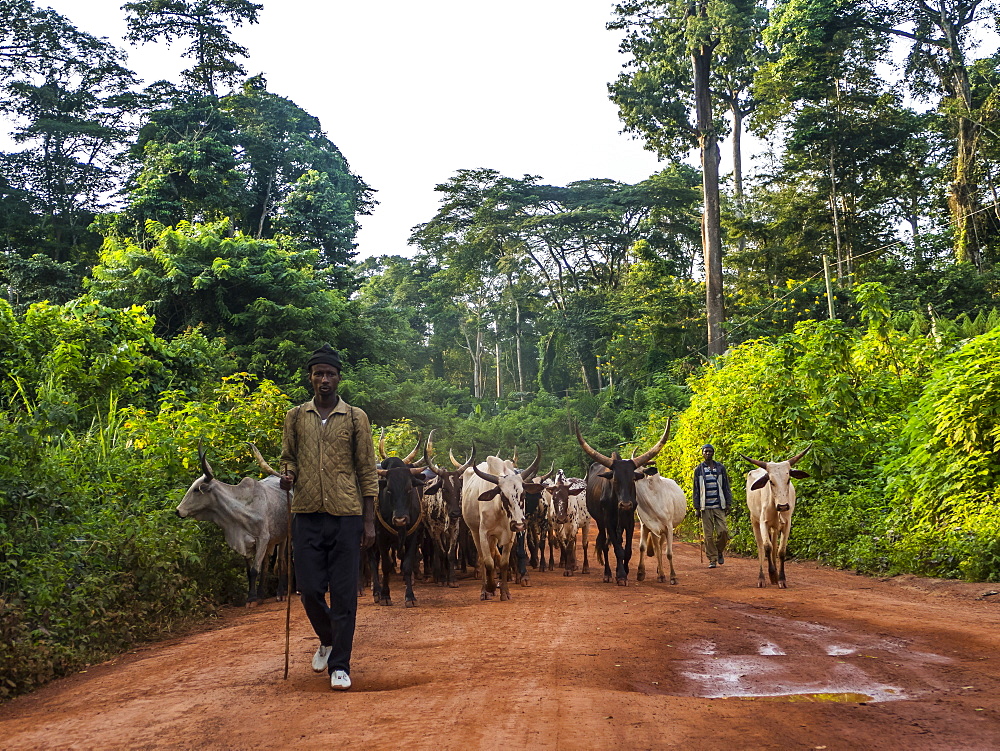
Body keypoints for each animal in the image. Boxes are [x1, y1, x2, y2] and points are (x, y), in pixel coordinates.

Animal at [462, 450, 544, 604]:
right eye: (503, 495)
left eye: (523, 494)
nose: (519, 524)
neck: (499, 510)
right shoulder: (483, 533)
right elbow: (488, 562)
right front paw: (490, 587)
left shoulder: (510, 535)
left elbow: (504, 562)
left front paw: (505, 592)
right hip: (475, 532)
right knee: (482, 557)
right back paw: (485, 590)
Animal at [576, 418, 668, 588]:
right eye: (615, 479)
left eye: (633, 478)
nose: (625, 505)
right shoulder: (608, 521)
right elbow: (617, 549)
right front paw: (621, 576)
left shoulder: (629, 520)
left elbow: (627, 550)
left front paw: (625, 570)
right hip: (600, 522)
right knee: (605, 544)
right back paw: (607, 574)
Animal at [744, 444, 812, 592]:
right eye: (771, 481)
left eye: (788, 479)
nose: (783, 506)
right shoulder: (763, 523)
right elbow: (767, 547)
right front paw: (772, 575)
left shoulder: (787, 524)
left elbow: (781, 551)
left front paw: (781, 579)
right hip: (755, 521)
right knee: (761, 547)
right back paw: (762, 578)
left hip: (775, 527)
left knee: (774, 544)